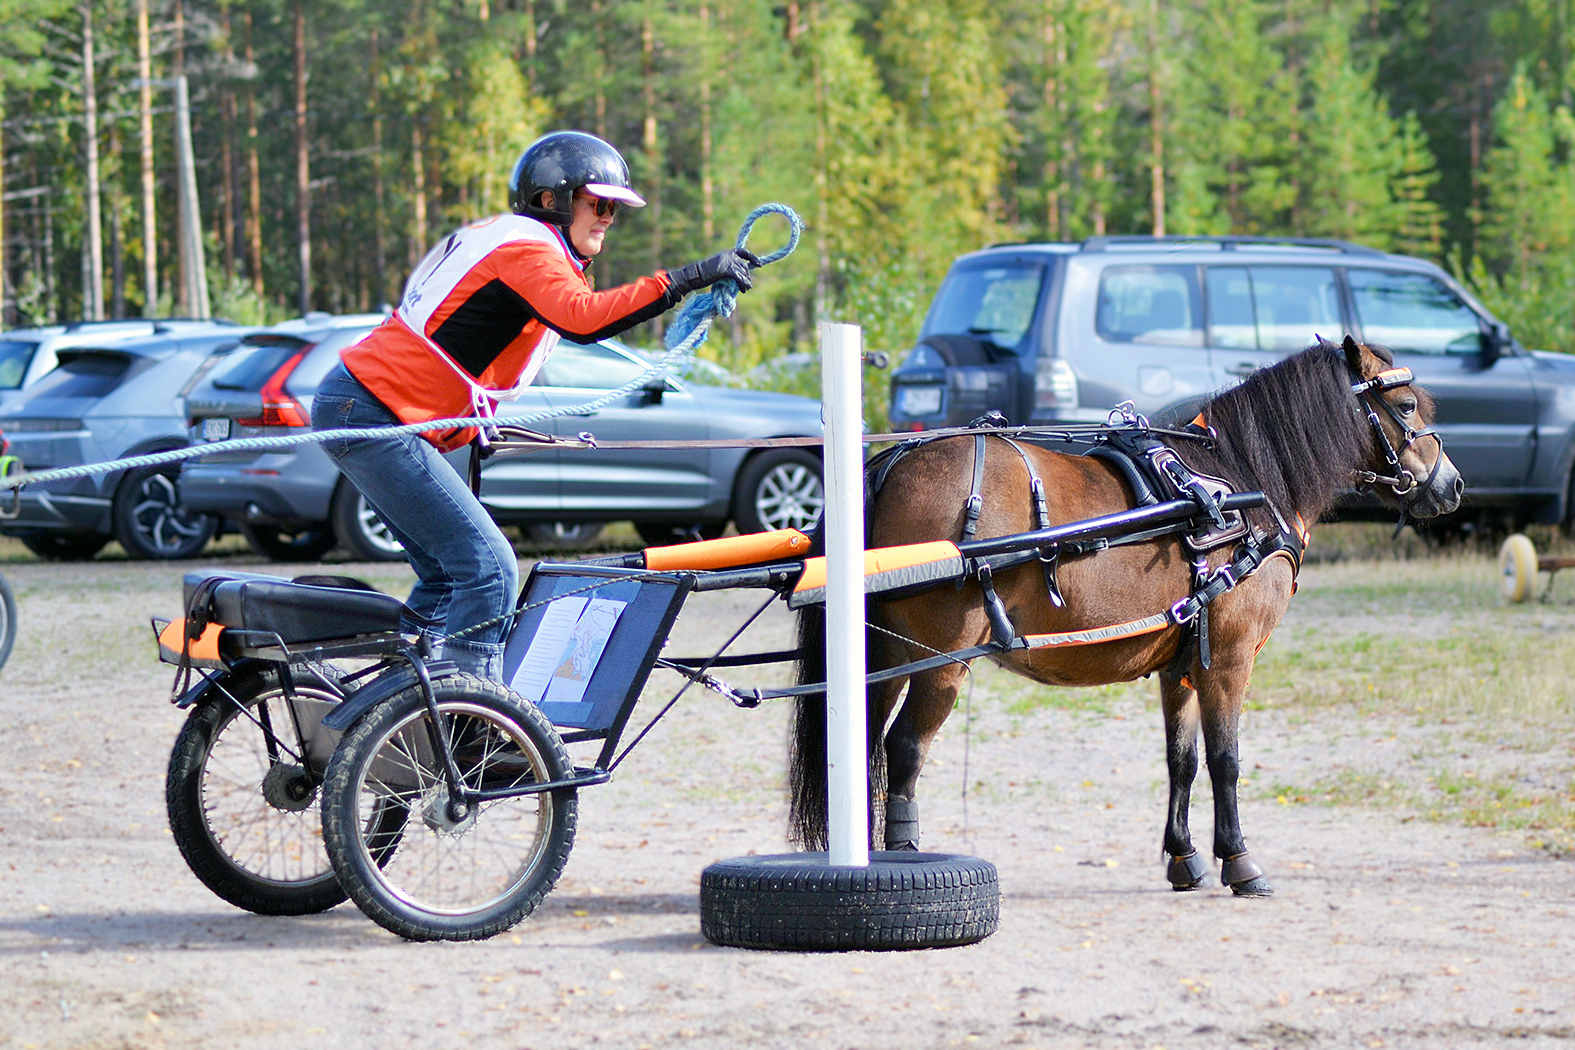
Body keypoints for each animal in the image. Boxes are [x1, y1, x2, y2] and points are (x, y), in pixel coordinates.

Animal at [787, 336, 1461, 894]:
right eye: (1405, 406)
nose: (1451, 485)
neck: (1238, 487)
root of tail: (888, 466)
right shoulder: (1229, 659)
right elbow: (1226, 761)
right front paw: (1240, 861)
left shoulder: (1181, 662)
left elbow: (1182, 761)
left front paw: (1185, 857)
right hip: (937, 665)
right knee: (903, 749)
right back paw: (904, 856)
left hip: (881, 655)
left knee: (865, 748)